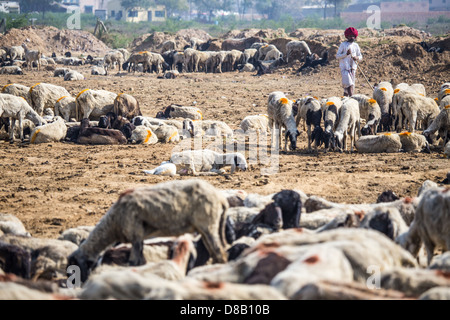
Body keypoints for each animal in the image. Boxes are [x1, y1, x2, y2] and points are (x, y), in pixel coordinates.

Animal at [68, 180, 230, 282]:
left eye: (74, 268)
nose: (79, 283)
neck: (112, 224)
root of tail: (221, 199)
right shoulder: (138, 238)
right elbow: (139, 260)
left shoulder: (135, 235)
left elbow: (134, 261)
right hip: (208, 227)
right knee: (216, 252)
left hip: (207, 224)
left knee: (219, 252)